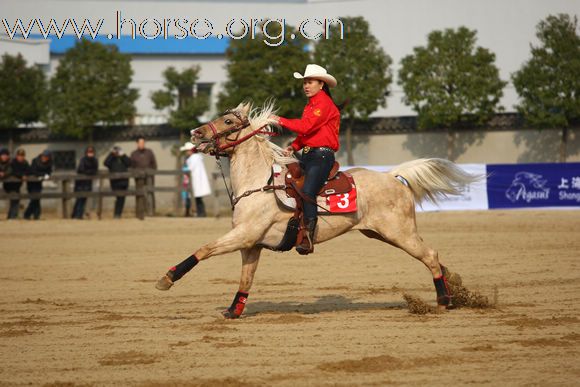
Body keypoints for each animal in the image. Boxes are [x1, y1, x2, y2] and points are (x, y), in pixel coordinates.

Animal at [155, 101, 480, 320]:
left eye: (226, 121)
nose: (195, 133)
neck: (258, 183)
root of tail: (392, 176)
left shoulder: (244, 234)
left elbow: (205, 249)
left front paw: (167, 279)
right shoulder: (251, 244)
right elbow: (245, 279)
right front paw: (233, 311)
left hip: (399, 232)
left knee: (430, 255)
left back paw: (443, 300)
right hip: (381, 233)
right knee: (434, 259)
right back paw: (454, 285)